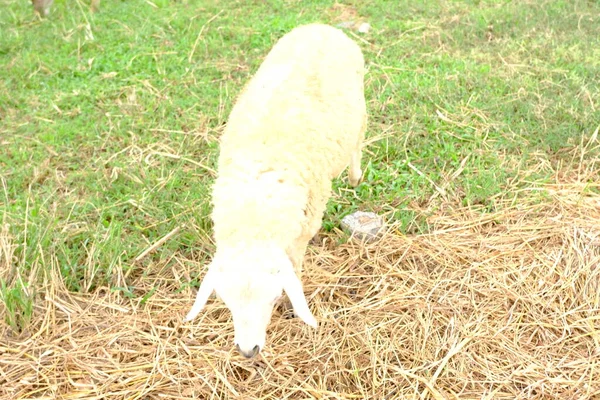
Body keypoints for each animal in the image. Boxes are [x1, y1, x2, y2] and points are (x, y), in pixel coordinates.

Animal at [185, 22, 368, 360]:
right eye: (226, 301)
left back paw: (354, 176)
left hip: (360, 108)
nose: (248, 351)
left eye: (271, 297)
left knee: (358, 143)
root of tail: (320, 26)